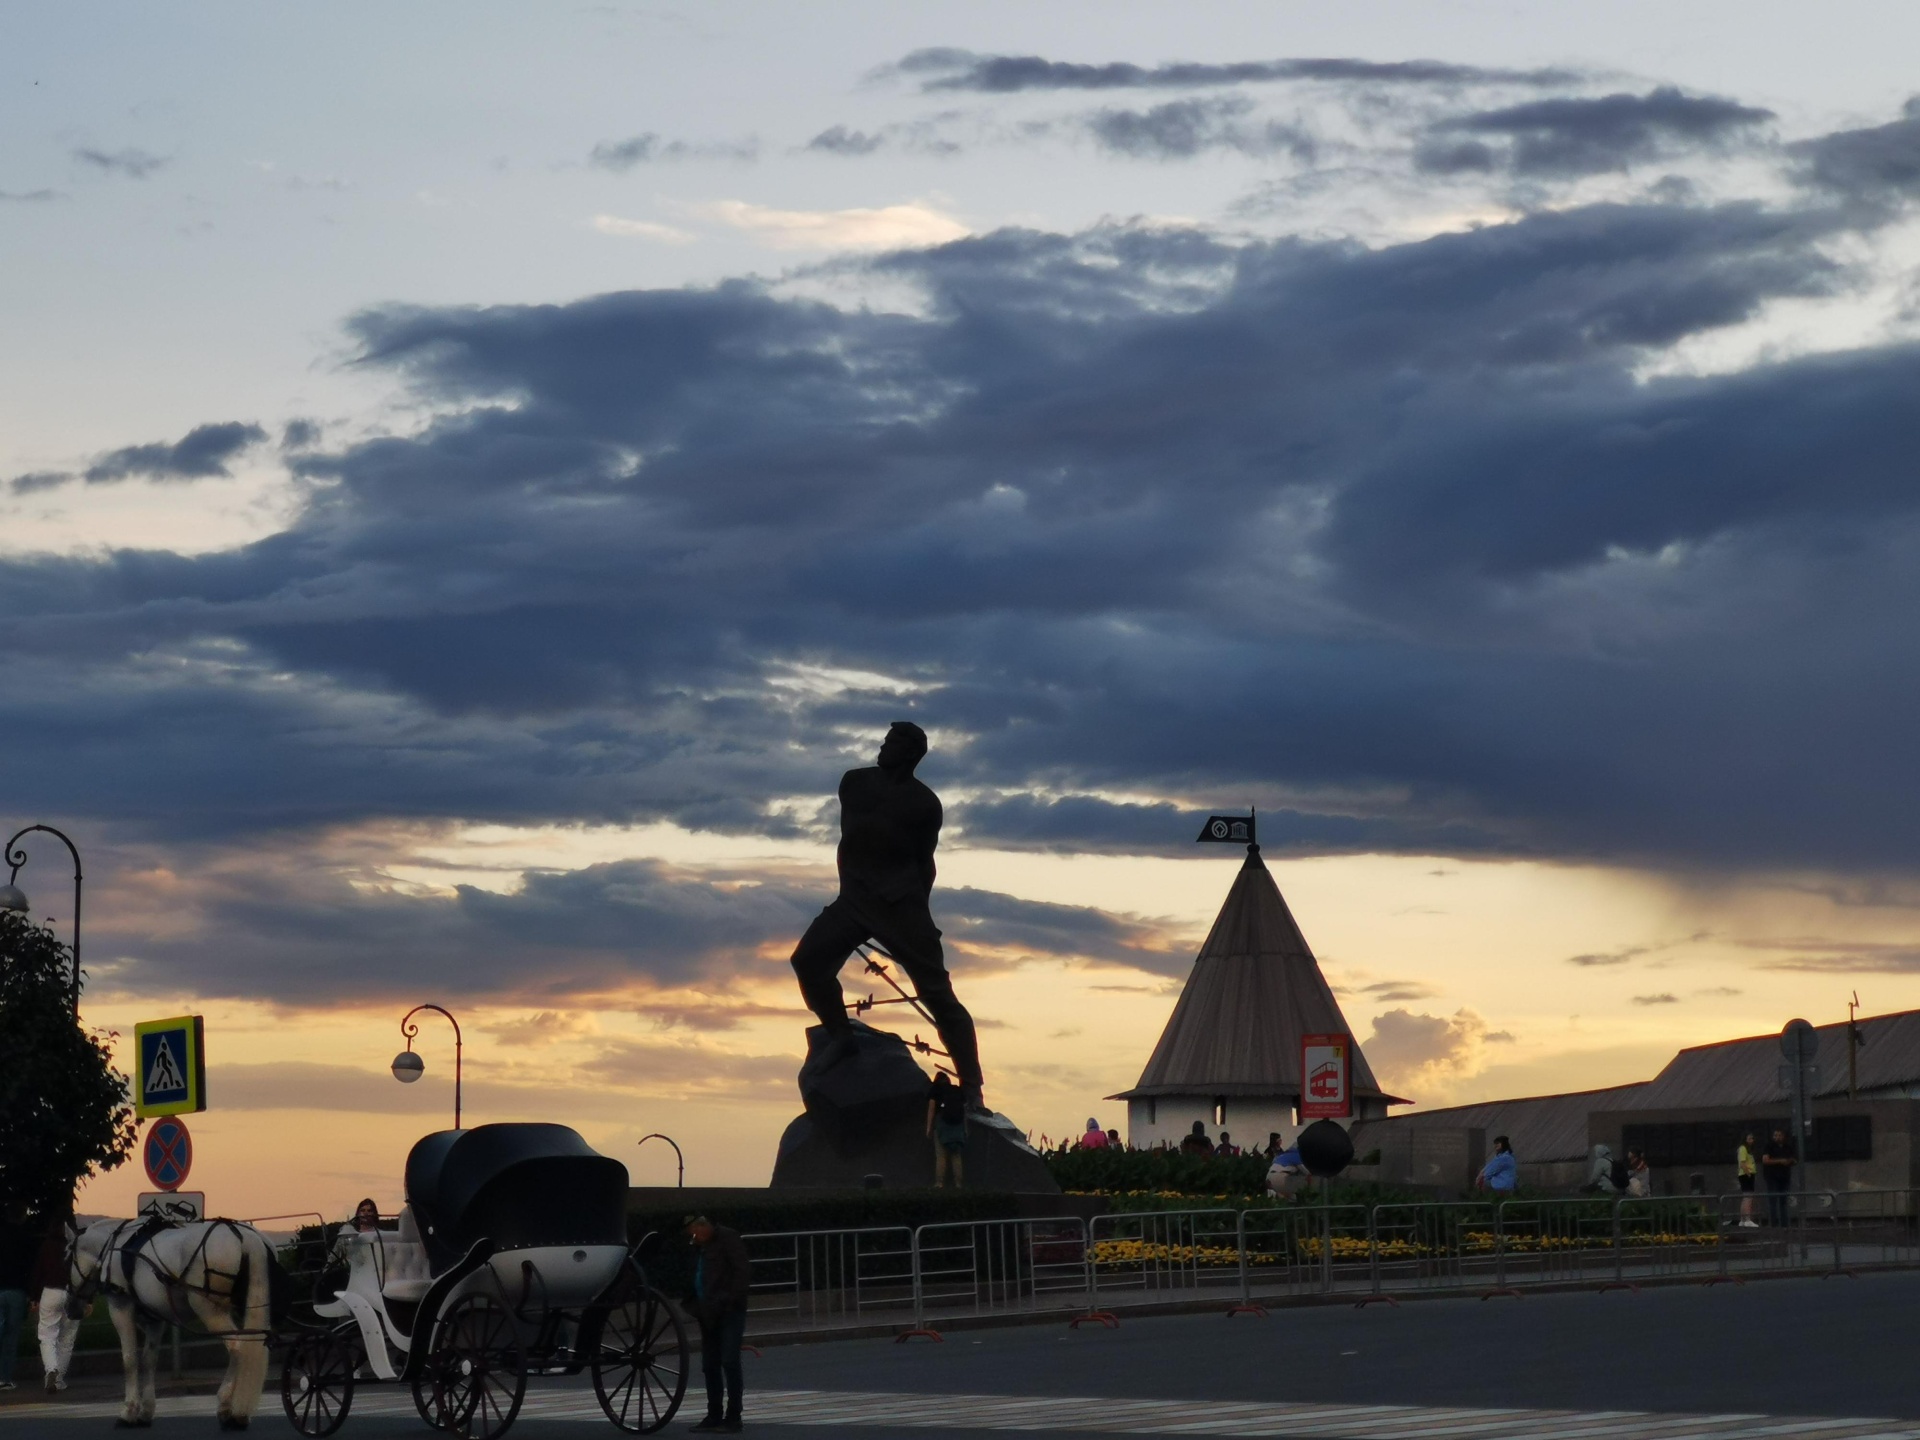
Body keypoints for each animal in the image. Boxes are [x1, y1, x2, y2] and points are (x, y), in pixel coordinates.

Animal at [70, 1221, 280, 1436]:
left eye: (67, 1259)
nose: (72, 1309)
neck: (113, 1247)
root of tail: (248, 1237)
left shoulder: (120, 1306)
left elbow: (129, 1360)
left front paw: (128, 1412)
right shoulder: (155, 1320)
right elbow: (149, 1360)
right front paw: (146, 1412)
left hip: (209, 1309)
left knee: (237, 1347)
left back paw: (227, 1407)